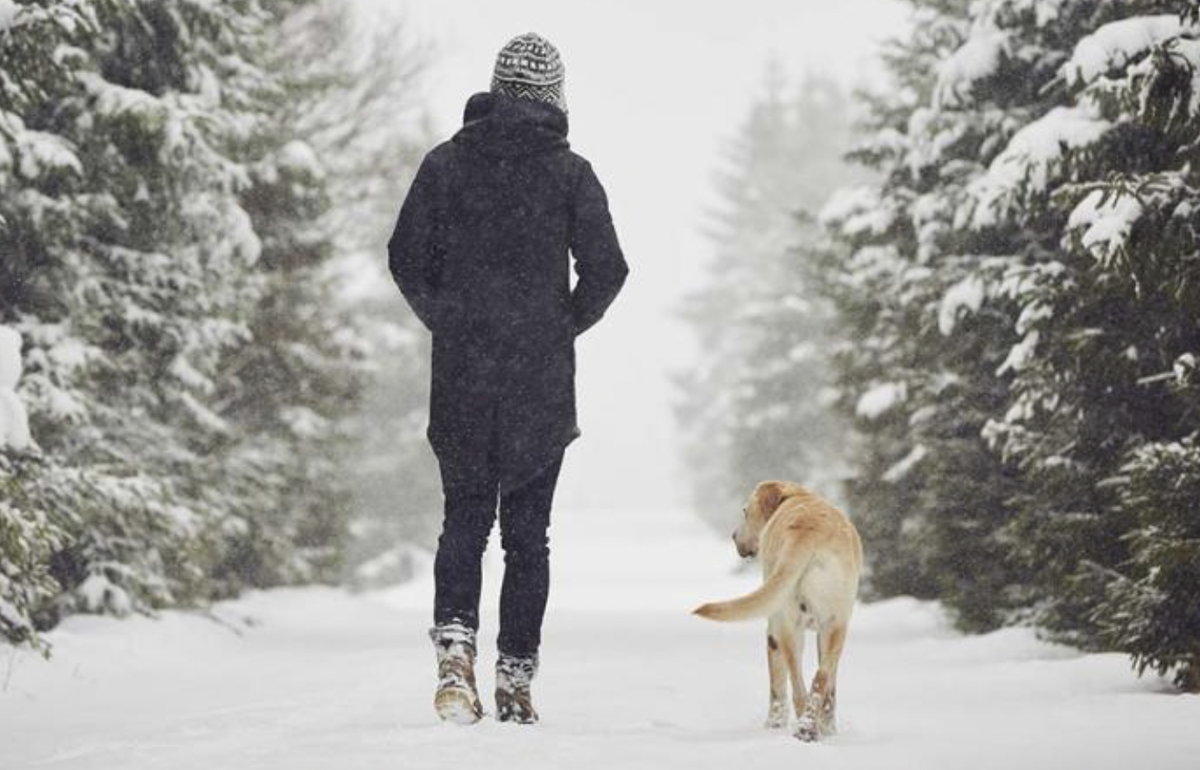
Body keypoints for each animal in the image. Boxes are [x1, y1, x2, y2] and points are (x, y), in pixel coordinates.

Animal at [696, 479, 864, 738]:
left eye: (745, 511)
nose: (733, 536)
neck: (796, 497)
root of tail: (808, 531)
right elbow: (831, 689)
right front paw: (830, 731)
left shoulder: (773, 630)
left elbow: (776, 688)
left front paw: (773, 726)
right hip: (835, 626)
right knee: (820, 680)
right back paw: (810, 728)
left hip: (786, 626)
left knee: (796, 686)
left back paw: (802, 728)